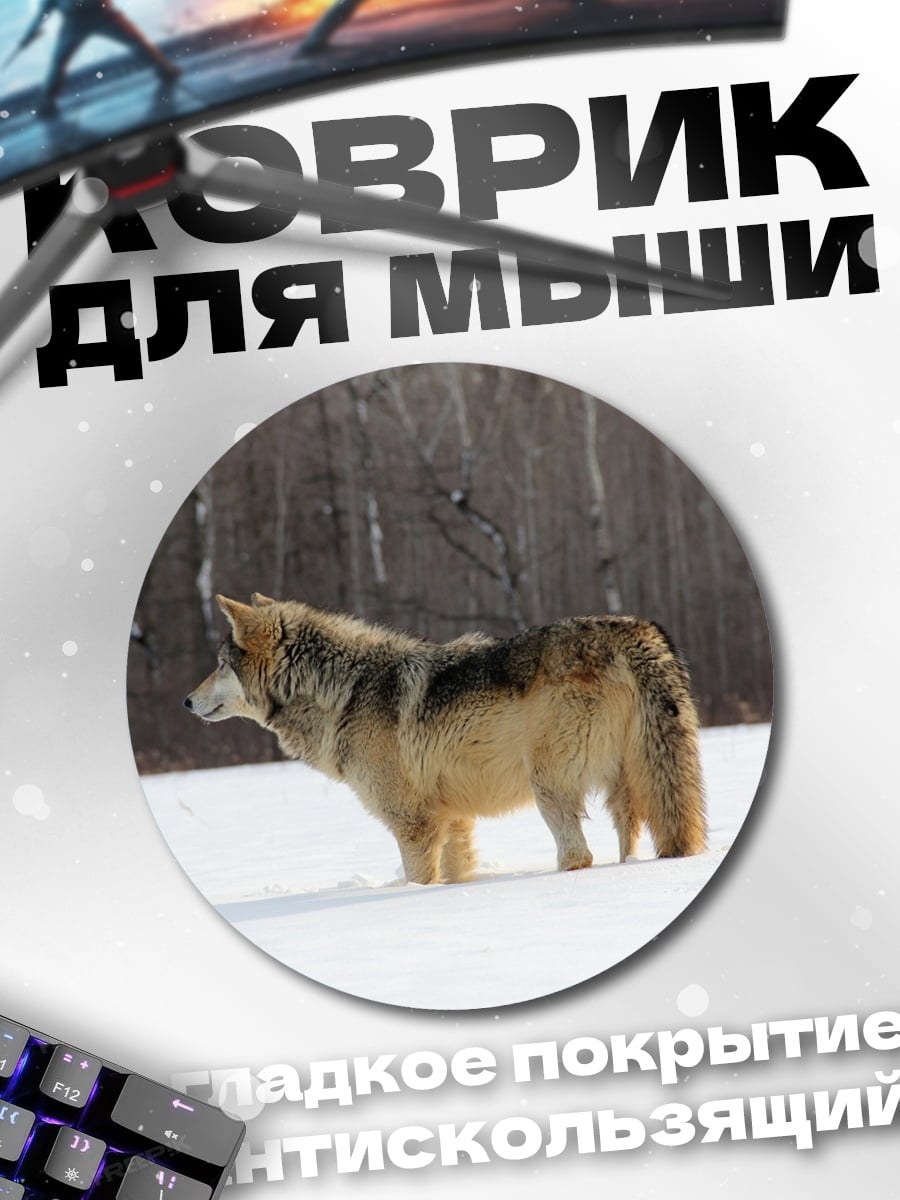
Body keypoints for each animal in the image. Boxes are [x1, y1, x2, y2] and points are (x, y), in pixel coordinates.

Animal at [184, 595, 707, 885]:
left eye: (221, 664)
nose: (186, 702)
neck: (344, 690)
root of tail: (638, 631)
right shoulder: (452, 819)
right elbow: (455, 875)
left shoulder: (413, 824)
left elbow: (420, 882)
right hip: (628, 788)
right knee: (628, 845)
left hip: (549, 784)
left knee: (578, 856)